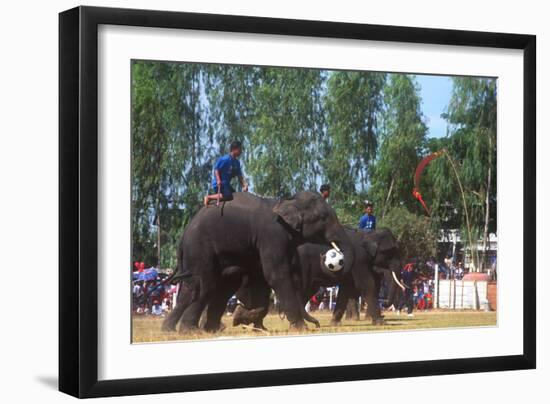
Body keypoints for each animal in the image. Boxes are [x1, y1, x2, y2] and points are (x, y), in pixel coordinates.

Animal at [162, 191, 356, 332]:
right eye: (323, 218)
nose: (317, 325)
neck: (287, 200)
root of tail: (184, 234)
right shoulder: (272, 235)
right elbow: (276, 276)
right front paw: (301, 328)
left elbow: (262, 279)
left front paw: (245, 318)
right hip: (200, 249)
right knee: (205, 284)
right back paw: (191, 331)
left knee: (200, 287)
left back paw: (179, 330)